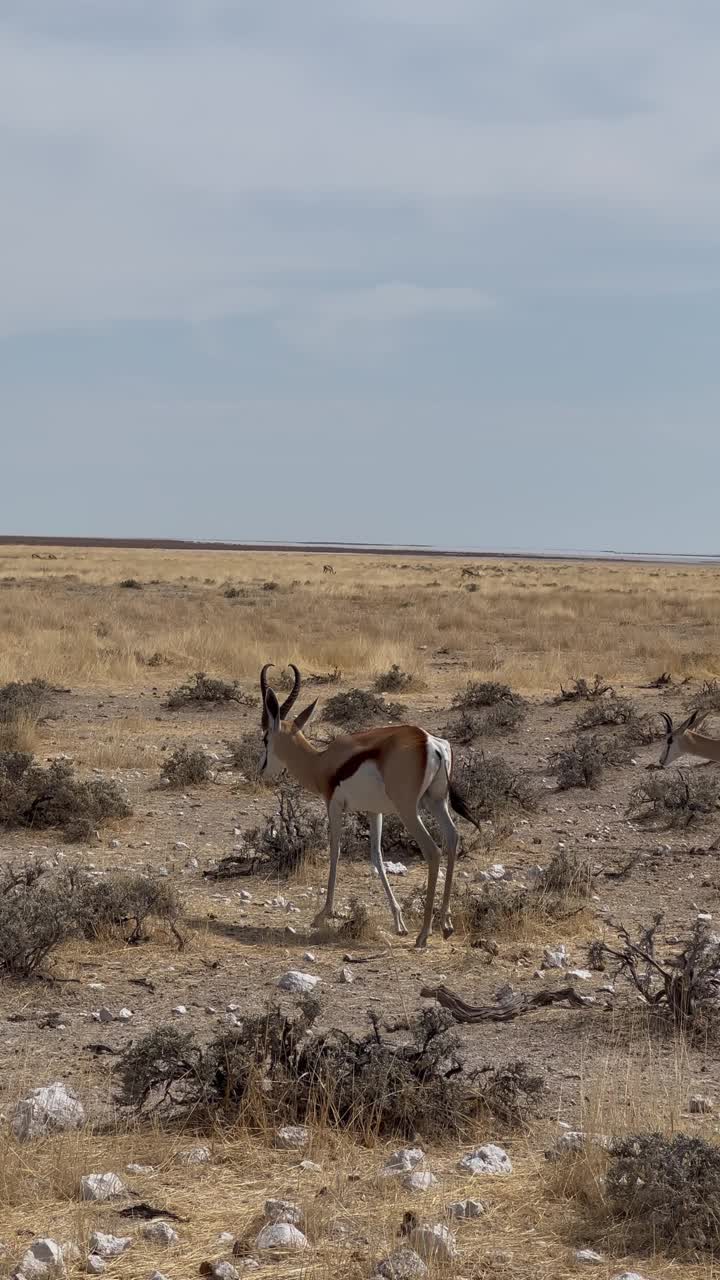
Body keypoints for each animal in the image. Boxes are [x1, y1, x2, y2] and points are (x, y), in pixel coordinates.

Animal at [254, 665, 479, 947]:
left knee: (433, 850)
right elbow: (377, 856)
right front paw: (398, 921)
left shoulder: (333, 805)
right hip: (436, 802)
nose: (260, 769)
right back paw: (446, 924)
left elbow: (335, 852)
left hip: (408, 810)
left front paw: (322, 915)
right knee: (452, 837)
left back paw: (424, 934)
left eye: (265, 738)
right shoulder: (375, 810)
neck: (320, 764)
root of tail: (431, 742)